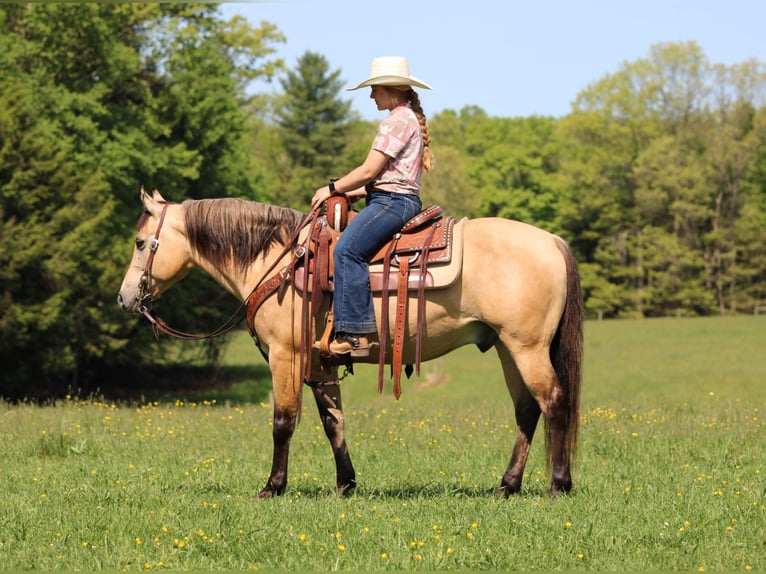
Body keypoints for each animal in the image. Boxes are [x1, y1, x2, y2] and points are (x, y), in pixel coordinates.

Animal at [117, 188, 583, 498]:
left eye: (140, 242)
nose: (124, 299)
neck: (277, 261)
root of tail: (552, 241)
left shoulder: (285, 357)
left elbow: (283, 422)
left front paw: (273, 487)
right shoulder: (319, 364)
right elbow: (333, 422)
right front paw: (346, 484)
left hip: (526, 348)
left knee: (554, 401)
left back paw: (559, 485)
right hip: (507, 348)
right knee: (527, 410)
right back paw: (507, 486)